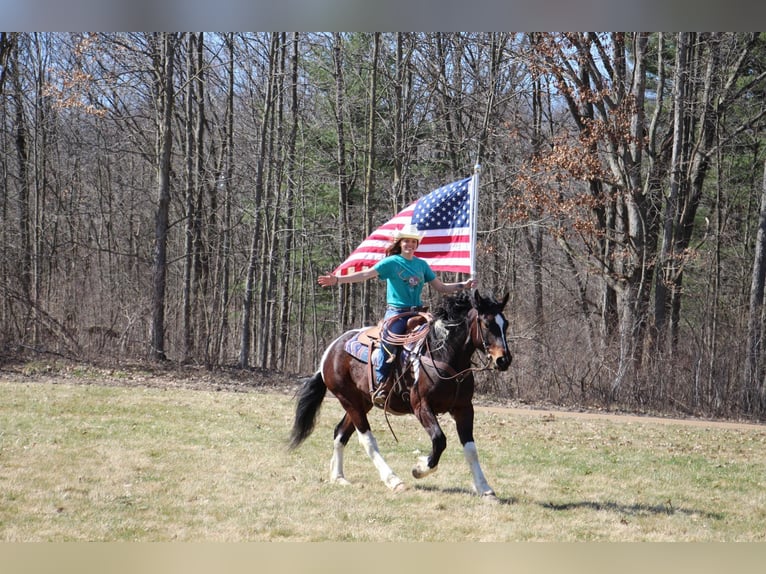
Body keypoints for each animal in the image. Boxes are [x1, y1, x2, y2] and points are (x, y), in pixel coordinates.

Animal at [292, 292, 512, 500]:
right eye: (487, 324)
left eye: (506, 324)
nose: (504, 360)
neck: (443, 354)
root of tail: (331, 350)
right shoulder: (421, 406)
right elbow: (439, 439)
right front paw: (420, 467)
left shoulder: (464, 408)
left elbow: (471, 450)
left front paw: (485, 489)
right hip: (349, 400)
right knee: (367, 440)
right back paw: (393, 480)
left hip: (361, 402)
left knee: (340, 433)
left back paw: (338, 477)